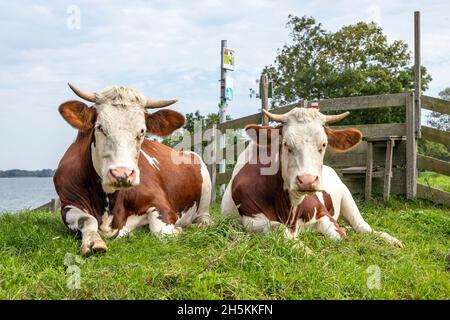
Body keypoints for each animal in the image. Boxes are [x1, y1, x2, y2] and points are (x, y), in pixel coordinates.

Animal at [54, 84, 211, 256]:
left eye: (142, 131)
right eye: (99, 127)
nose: (122, 174)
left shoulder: (162, 205)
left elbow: (161, 231)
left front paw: (178, 230)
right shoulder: (68, 204)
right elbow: (87, 219)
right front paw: (93, 241)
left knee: (205, 218)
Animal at [223, 107, 402, 250]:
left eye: (323, 144)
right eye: (286, 144)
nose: (307, 180)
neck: (290, 209)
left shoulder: (323, 214)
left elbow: (341, 237)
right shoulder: (251, 220)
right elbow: (279, 229)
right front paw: (303, 248)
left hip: (347, 198)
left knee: (362, 227)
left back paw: (390, 239)